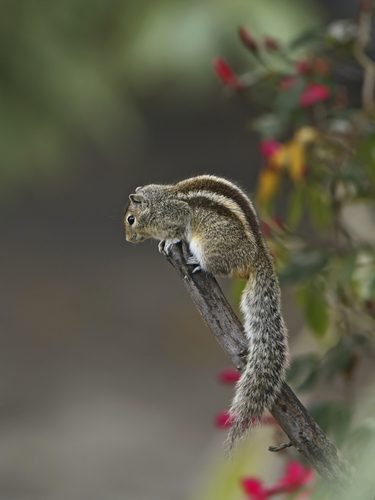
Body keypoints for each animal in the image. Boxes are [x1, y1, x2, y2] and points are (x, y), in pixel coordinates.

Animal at [125, 175, 290, 450]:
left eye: (130, 219)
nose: (127, 239)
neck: (161, 201)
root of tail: (259, 255)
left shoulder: (178, 215)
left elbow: (177, 231)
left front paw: (169, 241)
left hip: (210, 246)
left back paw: (196, 262)